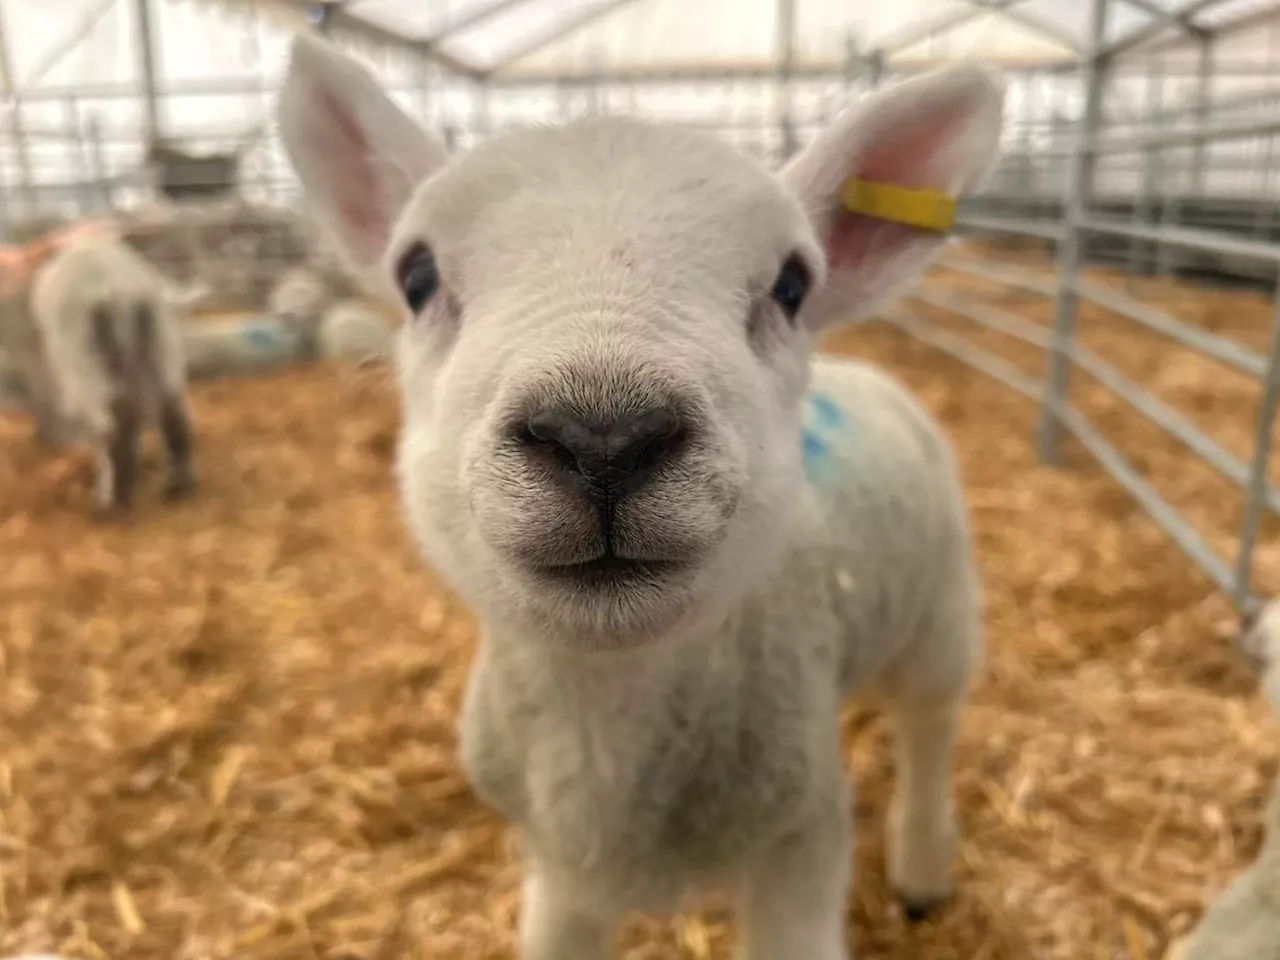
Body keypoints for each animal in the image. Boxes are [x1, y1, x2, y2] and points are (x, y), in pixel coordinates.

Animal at [30, 234, 197, 519]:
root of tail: (119, 288)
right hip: (156, 338)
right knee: (169, 410)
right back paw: (176, 486)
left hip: (84, 356)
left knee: (114, 422)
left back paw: (111, 504)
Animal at [275, 32, 1003, 960]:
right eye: (416, 275)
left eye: (793, 286)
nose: (604, 440)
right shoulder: (560, 879)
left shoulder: (799, 849)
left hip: (942, 612)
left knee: (929, 727)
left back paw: (921, 868)